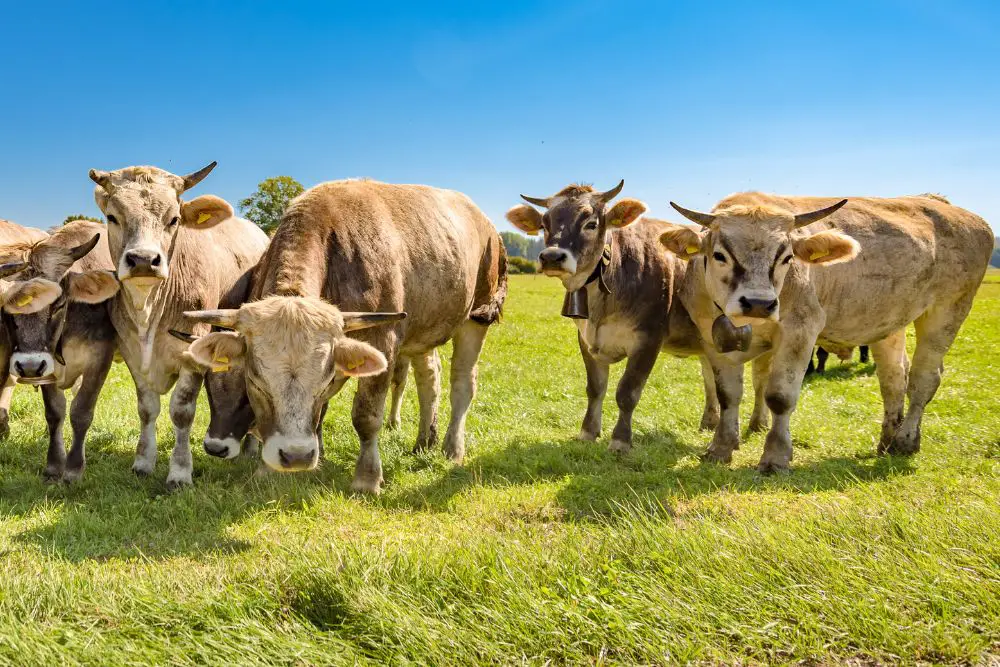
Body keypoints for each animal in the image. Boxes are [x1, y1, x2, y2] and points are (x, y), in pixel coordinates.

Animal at [0, 222, 119, 482]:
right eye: (5, 310)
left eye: (58, 305)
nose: (28, 366)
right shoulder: (47, 367)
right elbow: (55, 412)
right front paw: (54, 466)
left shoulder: (100, 357)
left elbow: (81, 411)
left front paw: (73, 468)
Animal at [89, 163, 270, 490]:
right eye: (112, 217)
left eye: (174, 219)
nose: (143, 260)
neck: (148, 311)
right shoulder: (133, 355)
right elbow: (147, 409)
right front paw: (143, 463)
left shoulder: (193, 353)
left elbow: (182, 412)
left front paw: (180, 472)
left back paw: (250, 449)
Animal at [178, 180, 508, 494]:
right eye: (255, 381)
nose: (296, 456)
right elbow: (319, 413)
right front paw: (277, 468)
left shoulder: (382, 341)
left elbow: (366, 416)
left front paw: (367, 478)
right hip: (423, 330)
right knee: (429, 378)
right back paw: (424, 440)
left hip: (478, 315)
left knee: (462, 384)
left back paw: (452, 448)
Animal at [508, 183, 764, 454]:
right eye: (544, 224)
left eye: (591, 223)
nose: (552, 257)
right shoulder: (585, 339)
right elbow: (595, 388)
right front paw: (588, 432)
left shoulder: (648, 339)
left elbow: (627, 392)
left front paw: (620, 441)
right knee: (710, 376)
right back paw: (710, 422)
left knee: (760, 379)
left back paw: (758, 424)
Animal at [660, 190, 996, 472]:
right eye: (719, 255)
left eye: (787, 257)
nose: (758, 303)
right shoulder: (713, 338)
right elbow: (728, 395)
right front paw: (720, 448)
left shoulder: (801, 330)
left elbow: (780, 396)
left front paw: (775, 457)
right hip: (888, 323)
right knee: (893, 379)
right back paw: (887, 440)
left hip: (948, 309)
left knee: (924, 378)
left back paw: (905, 441)